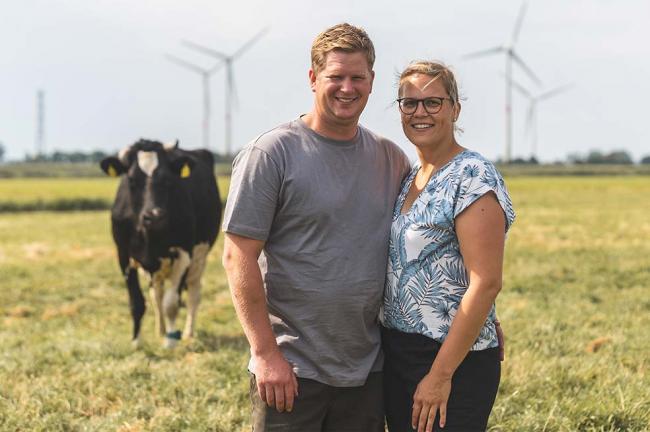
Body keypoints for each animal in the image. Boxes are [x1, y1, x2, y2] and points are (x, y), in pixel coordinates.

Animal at [100, 139, 221, 348]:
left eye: (168, 180)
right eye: (131, 180)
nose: (154, 215)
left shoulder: (184, 254)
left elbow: (171, 304)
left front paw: (170, 342)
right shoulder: (123, 255)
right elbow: (137, 302)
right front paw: (136, 342)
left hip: (199, 258)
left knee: (193, 295)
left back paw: (187, 333)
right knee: (156, 295)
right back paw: (161, 330)